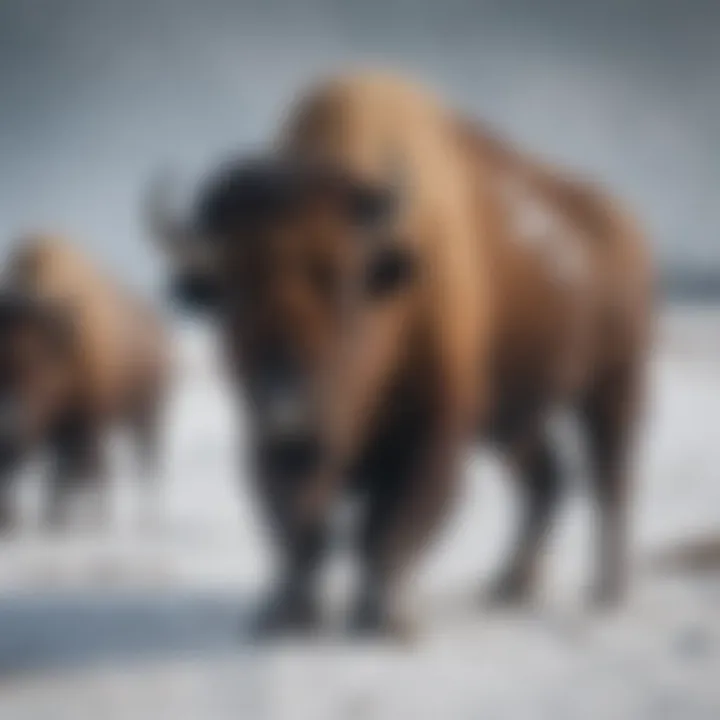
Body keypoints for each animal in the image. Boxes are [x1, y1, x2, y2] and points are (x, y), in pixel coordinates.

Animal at [0, 235, 169, 528]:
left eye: (38, 366)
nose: (9, 426)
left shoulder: (83, 425)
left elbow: (65, 476)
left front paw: (58, 521)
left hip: (146, 415)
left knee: (142, 464)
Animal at [146, 71, 652, 636]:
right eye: (230, 288)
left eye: (343, 279)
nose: (284, 391)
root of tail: (623, 223)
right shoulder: (268, 444)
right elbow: (300, 532)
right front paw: (284, 615)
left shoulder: (432, 432)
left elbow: (387, 530)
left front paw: (385, 620)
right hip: (514, 419)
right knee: (547, 480)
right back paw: (509, 587)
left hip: (613, 386)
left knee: (611, 484)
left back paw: (605, 593)